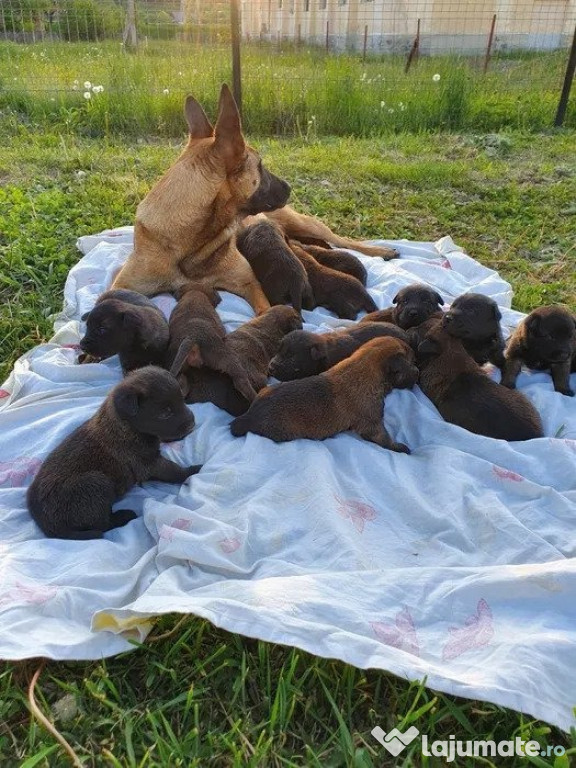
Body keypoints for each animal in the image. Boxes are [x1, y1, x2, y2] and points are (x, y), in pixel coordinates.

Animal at [28, 366, 201, 540]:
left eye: (182, 400)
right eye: (165, 413)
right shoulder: (147, 462)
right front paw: (193, 471)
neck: (125, 425)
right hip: (97, 483)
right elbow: (173, 470)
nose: (192, 423)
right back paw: (124, 515)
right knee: (102, 524)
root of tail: (49, 526)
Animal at [113, 84, 400, 312]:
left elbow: (265, 311)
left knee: (344, 241)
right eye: (260, 166)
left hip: (307, 224)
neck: (189, 242)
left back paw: (382, 250)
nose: (289, 187)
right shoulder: (121, 285)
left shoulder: (250, 283)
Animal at [231, 336, 418, 450]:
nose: (417, 372)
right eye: (411, 362)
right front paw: (400, 447)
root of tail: (248, 416)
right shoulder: (372, 423)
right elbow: (384, 438)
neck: (364, 366)